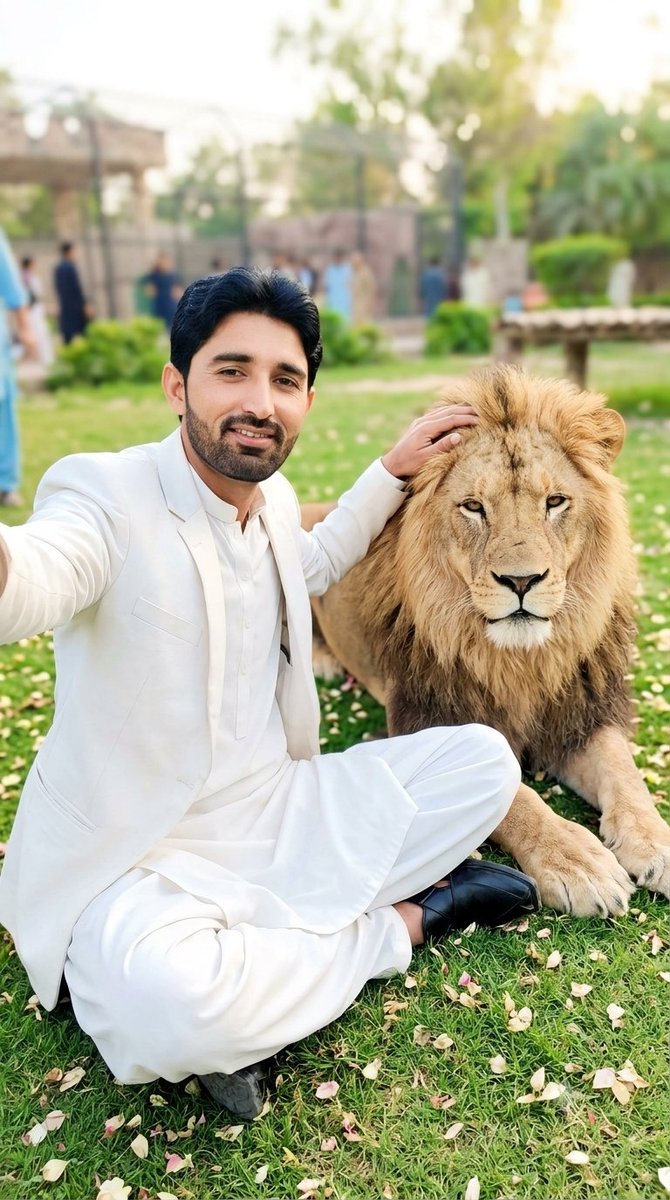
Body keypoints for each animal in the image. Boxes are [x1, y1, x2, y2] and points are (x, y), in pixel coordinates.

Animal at [303, 365, 670, 917]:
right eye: (474, 507)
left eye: (555, 502)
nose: (521, 581)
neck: (520, 662)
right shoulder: (428, 717)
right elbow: (517, 796)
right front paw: (576, 861)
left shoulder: (581, 713)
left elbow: (624, 773)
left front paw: (659, 843)